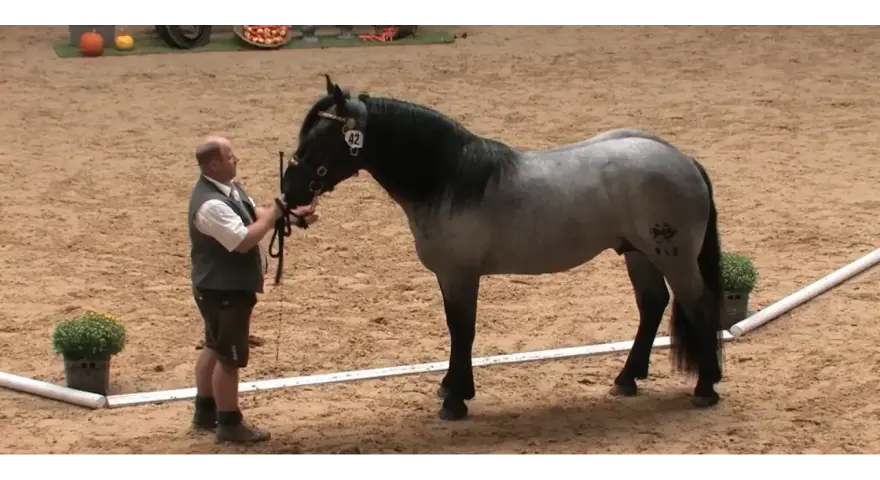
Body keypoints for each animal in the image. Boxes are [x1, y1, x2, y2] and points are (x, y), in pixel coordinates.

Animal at [274, 75, 725, 421]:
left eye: (322, 139)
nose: (288, 192)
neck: (448, 178)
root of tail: (682, 159)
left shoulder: (460, 275)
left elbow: (462, 329)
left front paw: (455, 401)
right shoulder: (449, 277)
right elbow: (457, 329)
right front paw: (451, 388)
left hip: (673, 257)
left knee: (699, 306)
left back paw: (705, 388)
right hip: (637, 253)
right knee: (652, 304)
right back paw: (627, 379)